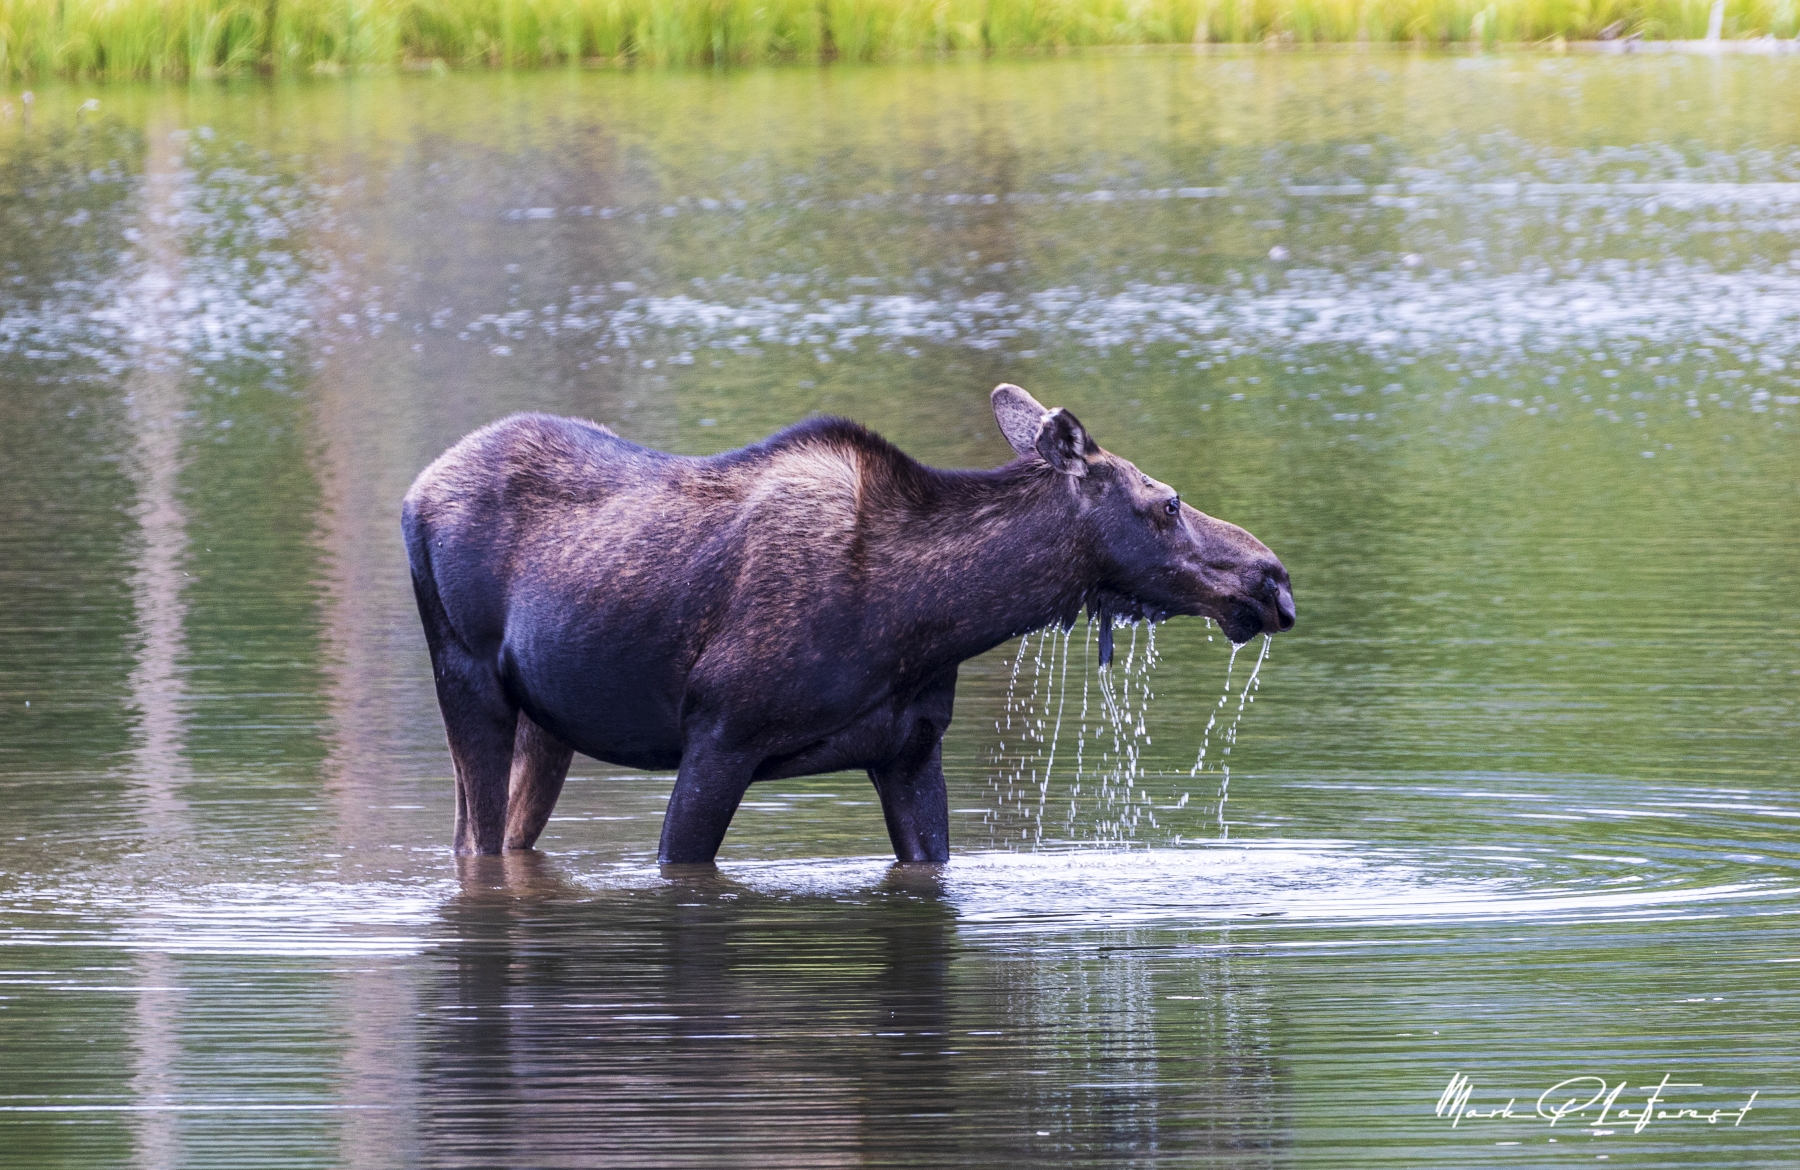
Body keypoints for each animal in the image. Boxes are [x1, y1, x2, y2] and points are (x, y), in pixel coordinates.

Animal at [405, 383, 1296, 856]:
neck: (926, 617)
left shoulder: (910, 750)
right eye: (1167, 503)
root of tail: (415, 488)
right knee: (472, 840)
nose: (1273, 579)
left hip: (548, 719)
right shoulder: (721, 735)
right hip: (465, 679)